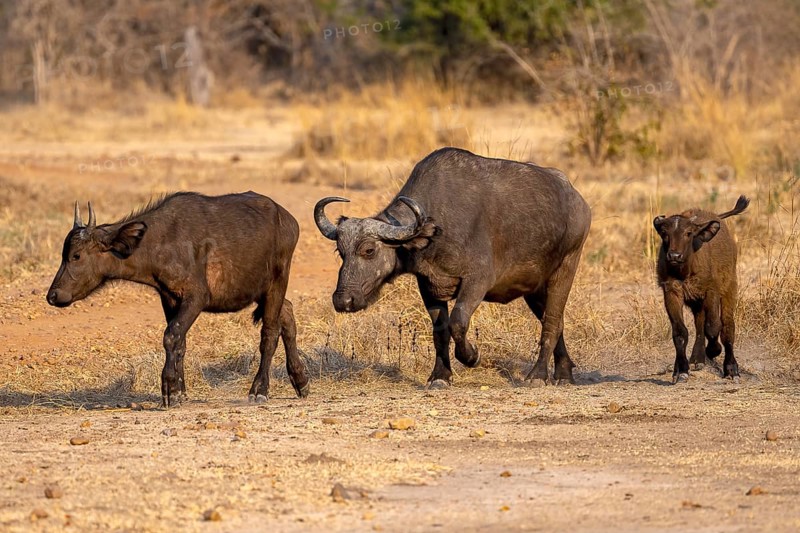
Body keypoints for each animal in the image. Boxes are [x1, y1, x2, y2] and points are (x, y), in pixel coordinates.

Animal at [47, 192, 309, 407]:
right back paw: (301, 380)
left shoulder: (197, 297)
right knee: (287, 313)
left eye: (76, 256)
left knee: (269, 334)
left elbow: (171, 336)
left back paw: (259, 390)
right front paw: (181, 392)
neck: (160, 242)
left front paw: (169, 389)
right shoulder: (170, 298)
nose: (52, 295)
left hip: (277, 282)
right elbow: (180, 342)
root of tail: (288, 220)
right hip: (263, 291)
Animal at [314, 147, 591, 387]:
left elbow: (458, 322)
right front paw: (440, 376)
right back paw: (564, 373)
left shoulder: (477, 282)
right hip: (533, 289)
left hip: (565, 270)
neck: (436, 227)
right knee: (555, 321)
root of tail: (579, 201)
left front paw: (472, 356)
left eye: (369, 250)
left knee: (552, 322)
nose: (343, 300)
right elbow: (440, 332)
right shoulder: (430, 287)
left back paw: (538, 375)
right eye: (341, 251)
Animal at [653, 195, 749, 383]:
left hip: (729, 288)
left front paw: (714, 350)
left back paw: (731, 368)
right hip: (696, 301)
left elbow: (713, 327)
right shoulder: (672, 293)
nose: (674, 255)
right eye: (664, 233)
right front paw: (681, 370)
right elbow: (680, 332)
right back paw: (697, 359)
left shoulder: (711, 291)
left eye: (688, 233)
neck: (685, 270)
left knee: (727, 326)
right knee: (699, 324)